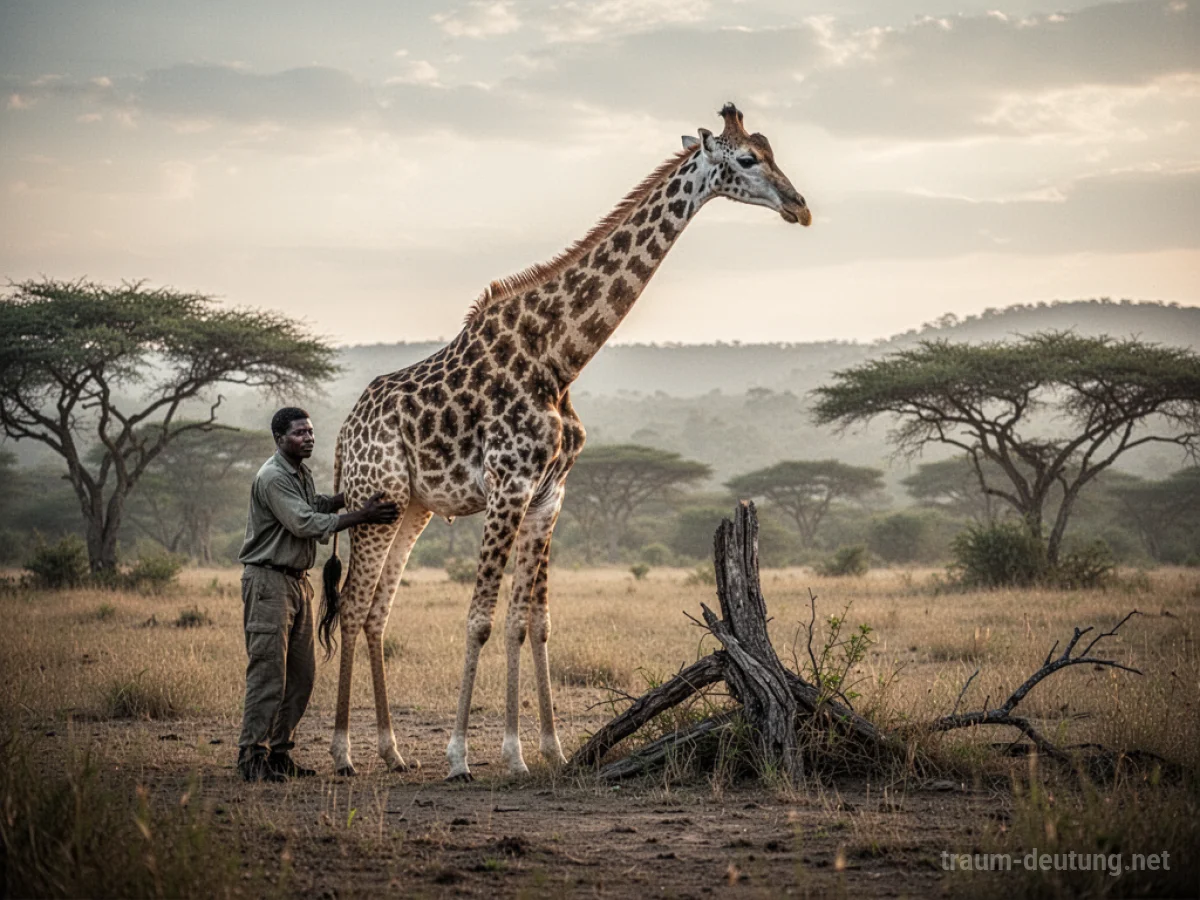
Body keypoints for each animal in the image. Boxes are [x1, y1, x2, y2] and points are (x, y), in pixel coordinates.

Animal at [320, 103, 811, 779]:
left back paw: (391, 751)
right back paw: (343, 752)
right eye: (746, 159)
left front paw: (540, 751)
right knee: (350, 605)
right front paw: (461, 756)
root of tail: (345, 435)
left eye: (771, 151)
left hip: (412, 509)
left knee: (376, 610)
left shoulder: (548, 496)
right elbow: (480, 619)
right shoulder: (508, 487)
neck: (559, 358)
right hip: (376, 501)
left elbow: (533, 622)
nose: (800, 205)